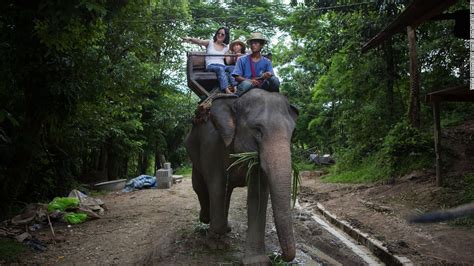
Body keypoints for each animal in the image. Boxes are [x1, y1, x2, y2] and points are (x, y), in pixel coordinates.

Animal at [184, 89, 298, 264]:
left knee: (226, 192)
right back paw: (207, 220)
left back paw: (224, 228)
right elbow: (216, 185)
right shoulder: (212, 144)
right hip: (193, 150)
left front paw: (257, 261)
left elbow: (258, 195)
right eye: (258, 130)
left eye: (292, 132)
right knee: (200, 185)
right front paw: (216, 245)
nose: (280, 256)